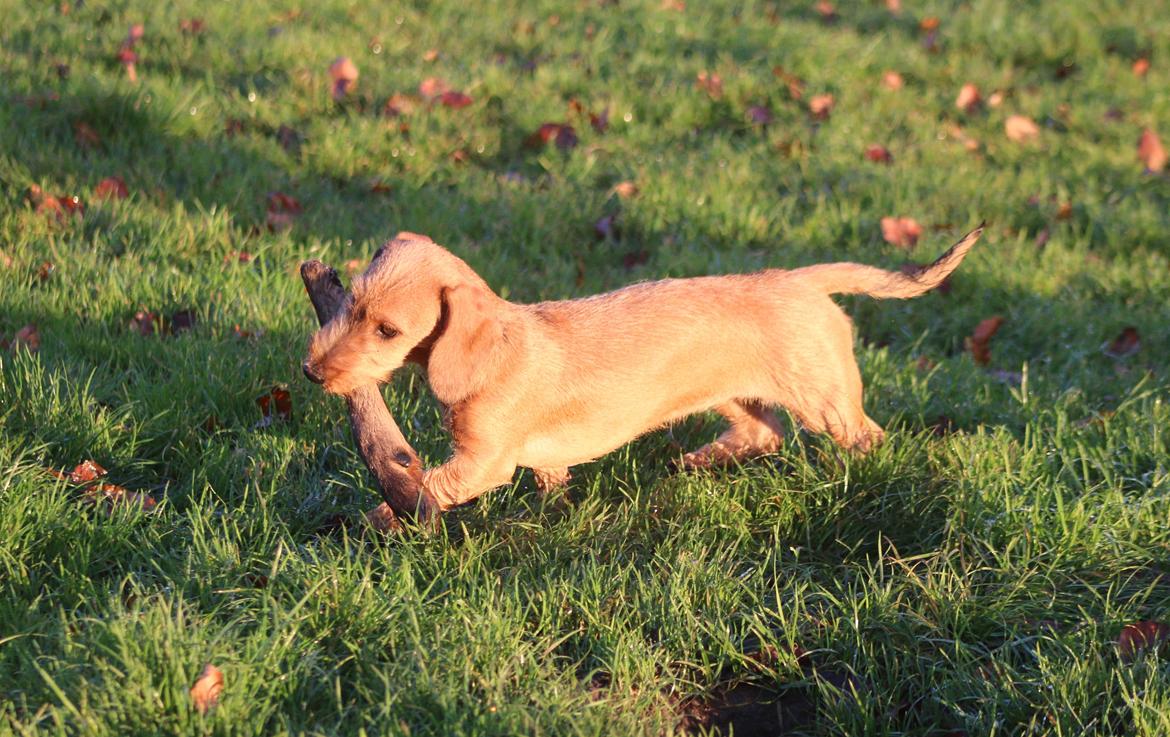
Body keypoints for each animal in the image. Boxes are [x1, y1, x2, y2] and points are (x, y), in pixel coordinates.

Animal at [306, 228, 982, 510]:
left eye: (388, 330)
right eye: (349, 300)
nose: (313, 374)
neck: (495, 349)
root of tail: (798, 279)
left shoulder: (483, 462)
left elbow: (426, 490)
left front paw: (380, 519)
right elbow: (552, 483)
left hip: (826, 401)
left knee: (867, 436)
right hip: (724, 391)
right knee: (763, 431)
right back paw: (698, 462)